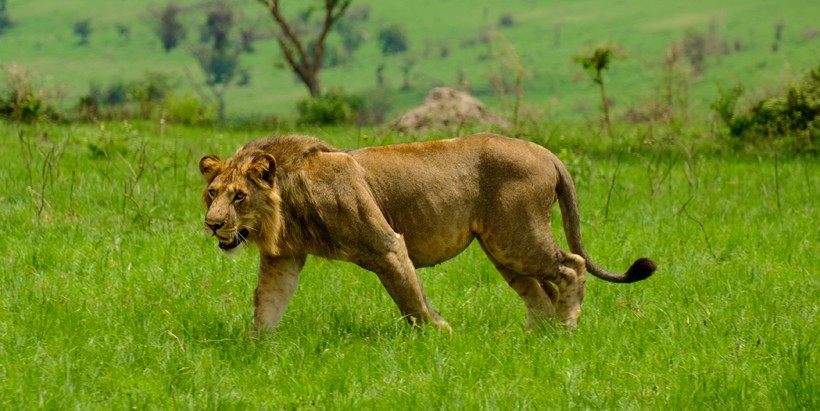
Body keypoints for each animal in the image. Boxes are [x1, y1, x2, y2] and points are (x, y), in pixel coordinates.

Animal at [199, 134, 652, 334]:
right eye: (212, 194)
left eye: (239, 196)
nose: (212, 224)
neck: (287, 202)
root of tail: (546, 152)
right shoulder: (283, 259)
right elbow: (267, 303)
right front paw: (257, 349)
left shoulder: (386, 245)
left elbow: (410, 299)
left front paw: (440, 335)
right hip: (503, 249)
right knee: (541, 294)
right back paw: (533, 339)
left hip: (518, 237)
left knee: (572, 266)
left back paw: (566, 328)